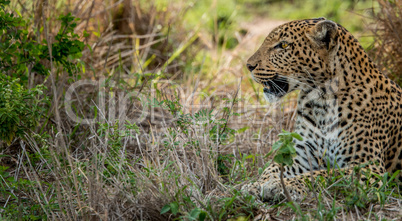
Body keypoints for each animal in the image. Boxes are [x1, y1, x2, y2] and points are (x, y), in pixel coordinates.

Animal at [242, 17, 402, 202]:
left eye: (283, 45)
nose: (249, 65)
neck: (321, 102)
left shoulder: (368, 168)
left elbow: (323, 175)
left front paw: (282, 185)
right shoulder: (303, 156)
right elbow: (274, 166)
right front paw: (256, 184)